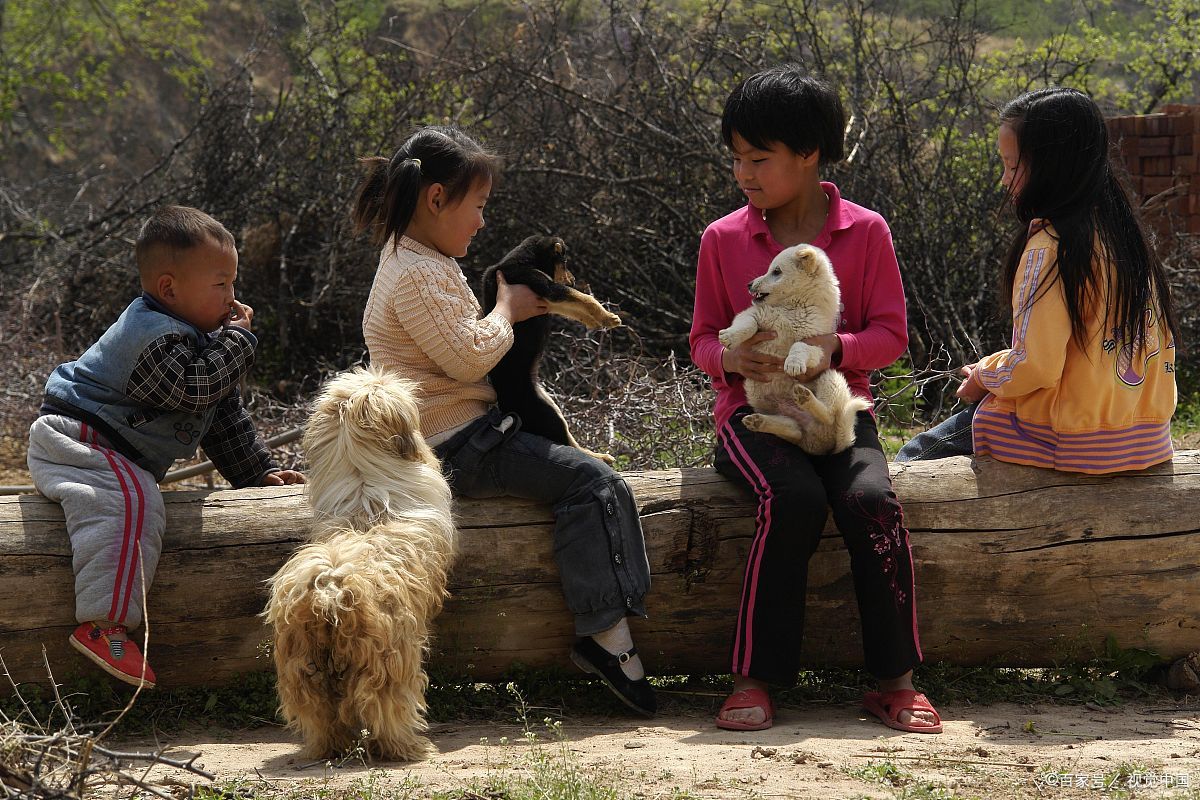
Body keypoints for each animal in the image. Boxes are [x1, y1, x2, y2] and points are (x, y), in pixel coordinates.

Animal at [265, 367, 456, 762]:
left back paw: (328, 747)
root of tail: (328, 594)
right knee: (387, 708)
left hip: (302, 667)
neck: (365, 486)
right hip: (390, 661)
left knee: (320, 715)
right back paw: (410, 746)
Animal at [480, 235, 624, 465]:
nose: (573, 280)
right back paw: (599, 457)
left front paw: (595, 321)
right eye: (564, 262)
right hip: (545, 413)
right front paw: (608, 317)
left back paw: (601, 456)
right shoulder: (546, 287)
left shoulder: (545, 302)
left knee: (571, 440)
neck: (527, 259)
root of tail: (503, 407)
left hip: (552, 406)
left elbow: (575, 308)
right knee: (565, 442)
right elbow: (583, 298)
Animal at [715, 244, 868, 455]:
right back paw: (760, 421)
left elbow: (798, 345)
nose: (749, 284)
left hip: (831, 377)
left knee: (829, 415)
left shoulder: (818, 346)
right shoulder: (755, 314)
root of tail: (819, 446)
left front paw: (793, 364)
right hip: (762, 400)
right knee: (794, 430)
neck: (793, 307)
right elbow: (748, 324)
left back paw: (805, 398)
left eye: (776, 271)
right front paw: (729, 337)